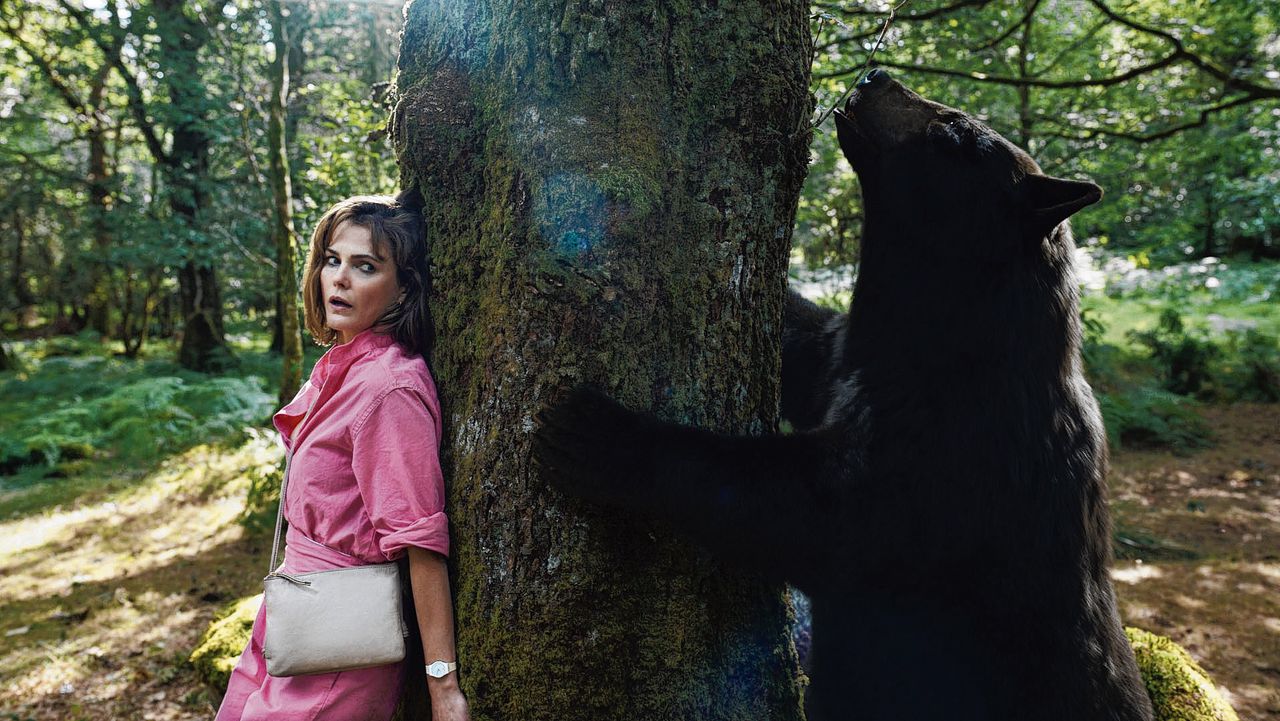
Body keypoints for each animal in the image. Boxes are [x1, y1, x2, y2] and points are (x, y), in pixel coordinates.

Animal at [535, 69, 1157, 721]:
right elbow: (805, 344)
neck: (945, 346)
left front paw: (601, 436)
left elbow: (802, 511)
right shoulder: (846, 361)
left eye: (952, 132)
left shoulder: (952, 461)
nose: (878, 74)